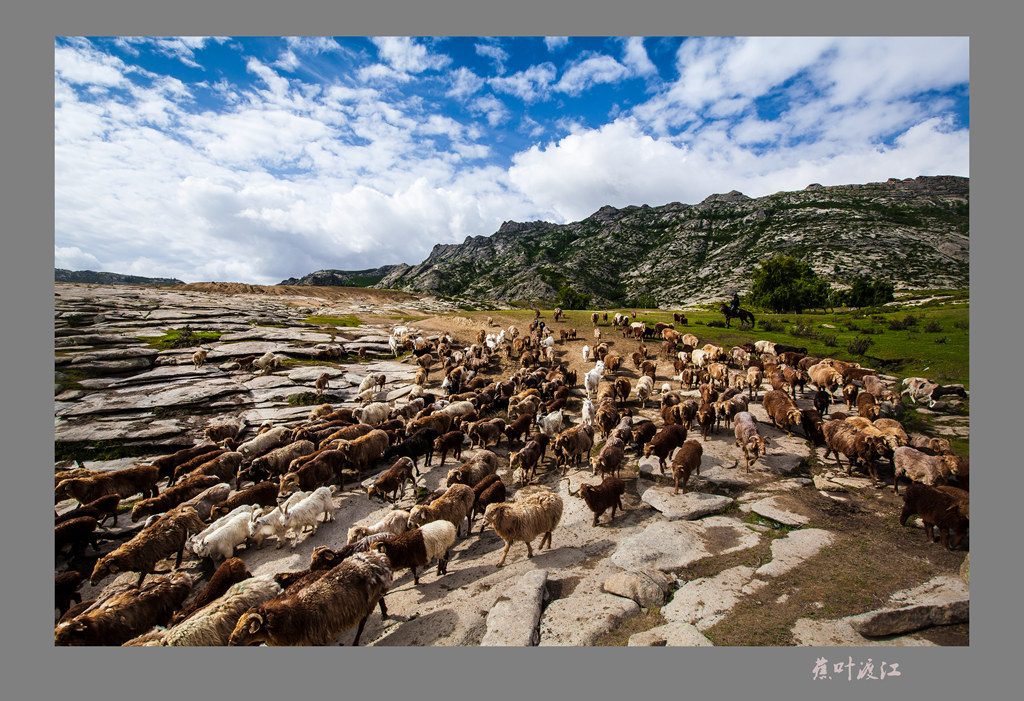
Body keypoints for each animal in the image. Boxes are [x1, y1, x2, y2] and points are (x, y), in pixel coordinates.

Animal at [228, 548, 391, 646]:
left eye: (245, 628)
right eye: (237, 624)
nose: (231, 641)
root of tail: (373, 558)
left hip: (369, 600)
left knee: (363, 621)